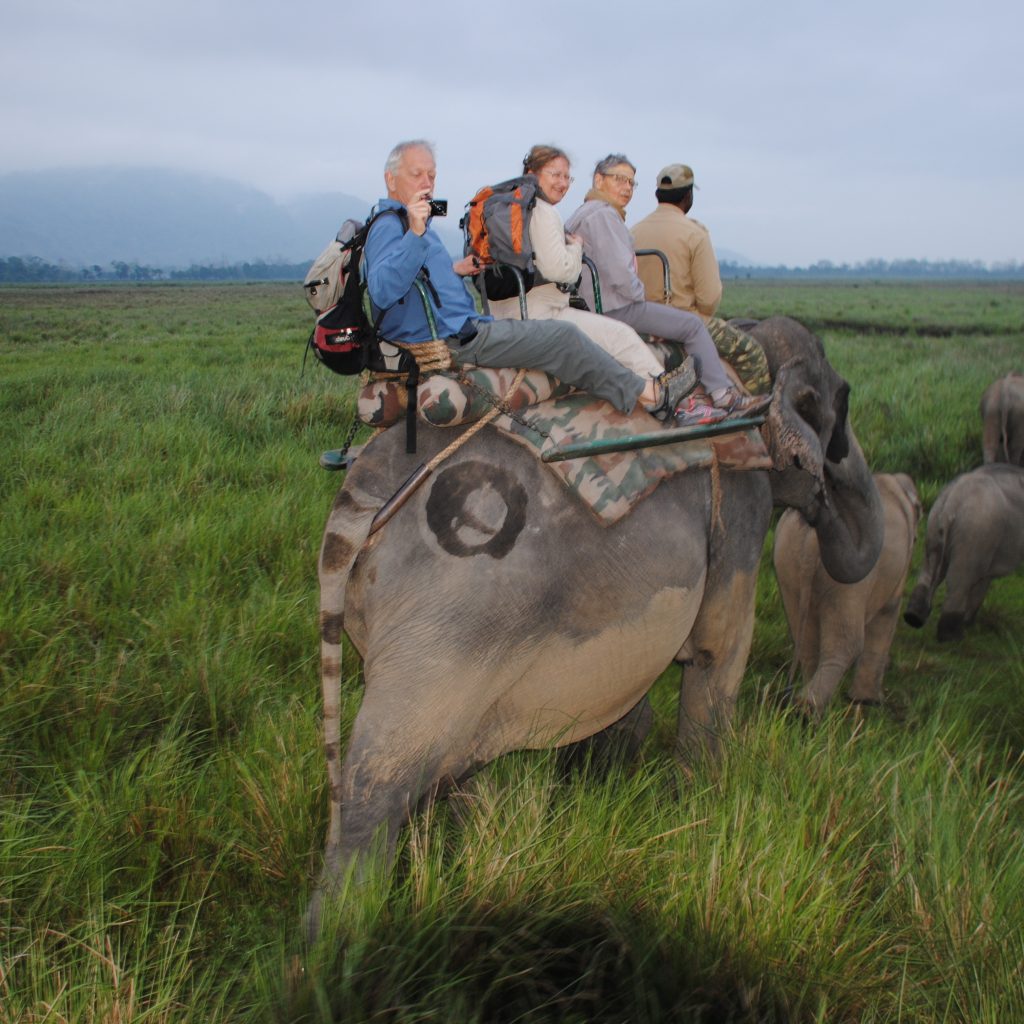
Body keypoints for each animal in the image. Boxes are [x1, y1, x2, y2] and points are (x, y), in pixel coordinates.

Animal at [307, 313, 884, 929]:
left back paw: (477, 839)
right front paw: (702, 810)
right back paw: (335, 946)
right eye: (838, 407)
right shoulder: (741, 508)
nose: (824, 493)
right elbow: (718, 653)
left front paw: (603, 777)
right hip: (447, 619)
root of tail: (365, 484)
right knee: (377, 784)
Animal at [770, 473, 925, 720]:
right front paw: (869, 701)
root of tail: (812, 536)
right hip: (849, 582)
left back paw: (804, 705)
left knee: (803, 636)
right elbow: (888, 613)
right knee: (846, 641)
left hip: (786, 560)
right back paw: (808, 712)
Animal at [905, 462, 1024, 638]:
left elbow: (983, 580)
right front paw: (968, 625)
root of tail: (951, 503)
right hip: (975, 531)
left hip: (933, 524)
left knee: (929, 569)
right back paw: (951, 637)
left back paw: (914, 617)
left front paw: (969, 624)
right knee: (959, 580)